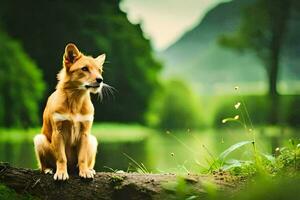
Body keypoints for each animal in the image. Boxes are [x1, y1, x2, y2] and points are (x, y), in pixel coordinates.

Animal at [33, 43, 105, 180]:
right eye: (84, 69)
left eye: (99, 70)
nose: (100, 80)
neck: (75, 100)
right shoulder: (58, 132)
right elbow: (62, 158)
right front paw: (61, 173)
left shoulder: (85, 133)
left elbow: (82, 157)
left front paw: (85, 171)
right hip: (39, 139)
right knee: (43, 165)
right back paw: (49, 169)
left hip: (93, 141)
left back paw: (89, 169)